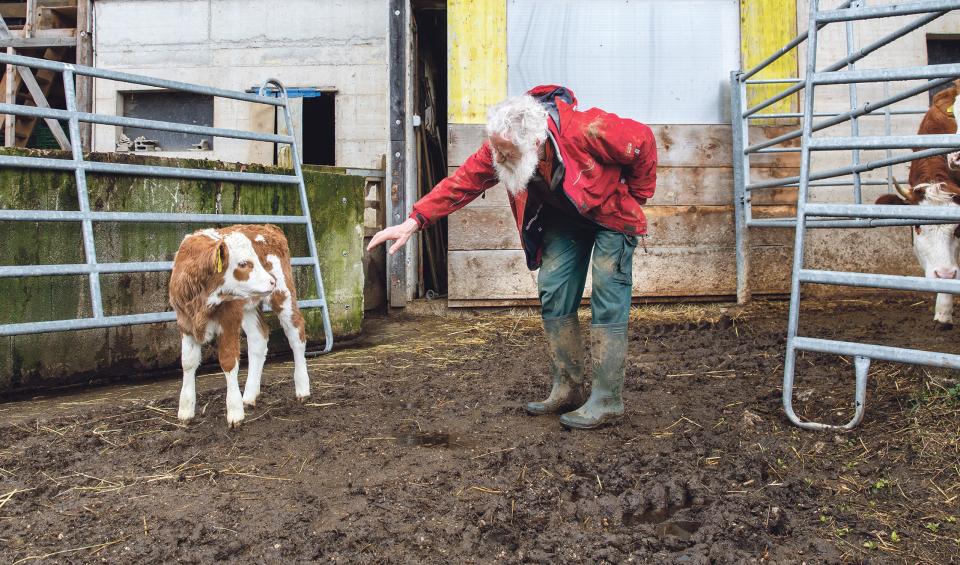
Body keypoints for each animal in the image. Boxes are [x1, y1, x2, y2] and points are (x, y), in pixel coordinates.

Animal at [169, 223, 310, 426]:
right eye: (243, 264)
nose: (271, 281)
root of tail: (269, 227)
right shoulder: (185, 323)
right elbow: (188, 362)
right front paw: (186, 410)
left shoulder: (229, 320)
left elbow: (228, 362)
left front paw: (235, 412)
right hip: (249, 306)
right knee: (258, 339)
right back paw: (249, 396)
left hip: (284, 294)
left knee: (296, 334)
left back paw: (302, 389)